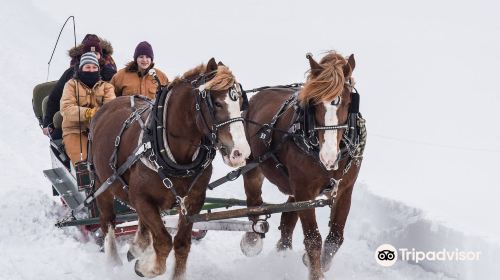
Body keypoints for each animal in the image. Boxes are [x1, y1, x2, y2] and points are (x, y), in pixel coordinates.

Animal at [89, 58, 250, 278]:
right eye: (217, 103)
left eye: (241, 102)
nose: (241, 152)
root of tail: (108, 105)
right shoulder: (141, 198)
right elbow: (164, 241)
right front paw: (145, 267)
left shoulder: (193, 201)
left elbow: (181, 243)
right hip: (101, 184)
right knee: (108, 223)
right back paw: (113, 264)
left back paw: (138, 247)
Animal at [241, 52, 364, 280]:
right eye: (314, 103)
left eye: (349, 102)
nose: (328, 156)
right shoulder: (305, 191)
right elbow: (313, 239)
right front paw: (316, 273)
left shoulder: (344, 189)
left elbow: (335, 237)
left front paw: (318, 263)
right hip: (253, 167)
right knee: (254, 201)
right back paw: (252, 239)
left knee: (288, 216)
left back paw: (282, 250)